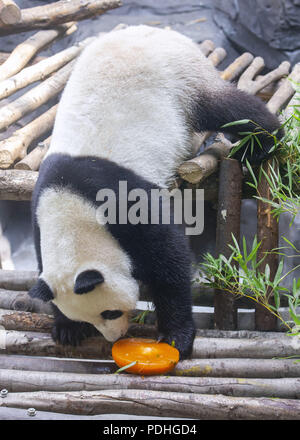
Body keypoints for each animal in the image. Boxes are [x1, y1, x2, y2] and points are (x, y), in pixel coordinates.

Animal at [27, 25, 282, 360]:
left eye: (109, 312)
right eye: (93, 318)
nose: (114, 337)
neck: (69, 206)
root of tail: (154, 29)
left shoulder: (118, 197)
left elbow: (168, 258)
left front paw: (176, 335)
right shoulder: (40, 211)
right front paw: (67, 329)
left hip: (181, 79)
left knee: (227, 107)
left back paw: (265, 140)